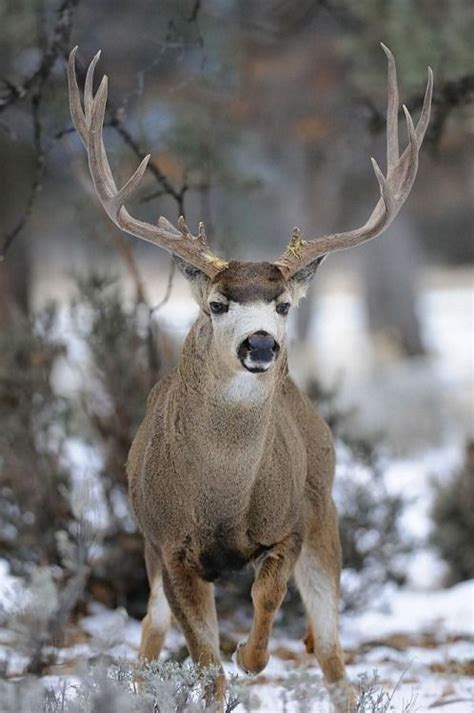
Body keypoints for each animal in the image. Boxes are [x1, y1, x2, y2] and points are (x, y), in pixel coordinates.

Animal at [68, 44, 432, 712]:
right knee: (149, 632)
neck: (222, 497)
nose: (260, 344)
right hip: (148, 549)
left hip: (326, 514)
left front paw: (250, 653)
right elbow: (205, 669)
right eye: (217, 304)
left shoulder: (289, 526)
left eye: (284, 305)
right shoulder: (169, 544)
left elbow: (265, 605)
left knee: (334, 657)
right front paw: (225, 665)